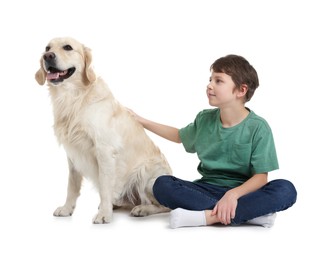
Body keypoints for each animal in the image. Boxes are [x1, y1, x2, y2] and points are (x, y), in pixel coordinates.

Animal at [34, 36, 171, 223]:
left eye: (68, 47)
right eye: (47, 48)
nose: (47, 56)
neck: (74, 98)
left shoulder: (104, 150)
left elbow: (105, 187)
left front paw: (104, 214)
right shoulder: (73, 154)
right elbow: (72, 185)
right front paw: (67, 208)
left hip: (146, 173)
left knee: (165, 206)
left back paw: (141, 209)